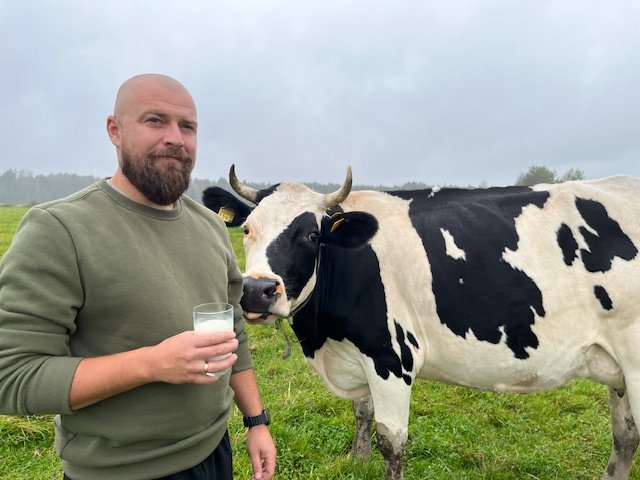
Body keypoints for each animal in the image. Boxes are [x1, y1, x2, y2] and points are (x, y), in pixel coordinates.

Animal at [202, 166, 640, 480]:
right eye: (247, 228)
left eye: (311, 234)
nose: (257, 290)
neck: (326, 340)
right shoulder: (361, 351)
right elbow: (362, 413)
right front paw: (357, 461)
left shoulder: (392, 357)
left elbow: (391, 442)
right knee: (626, 437)